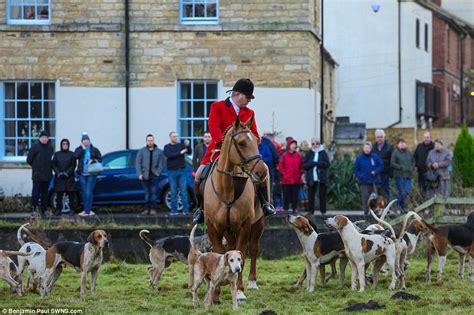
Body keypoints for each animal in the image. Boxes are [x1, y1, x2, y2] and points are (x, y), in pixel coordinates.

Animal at [204, 115, 266, 302]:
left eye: (256, 140)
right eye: (241, 143)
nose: (262, 171)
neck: (227, 188)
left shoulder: (245, 225)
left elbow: (241, 253)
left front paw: (239, 291)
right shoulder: (213, 227)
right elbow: (220, 253)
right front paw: (216, 292)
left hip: (258, 223)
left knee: (253, 248)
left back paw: (252, 282)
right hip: (228, 230)